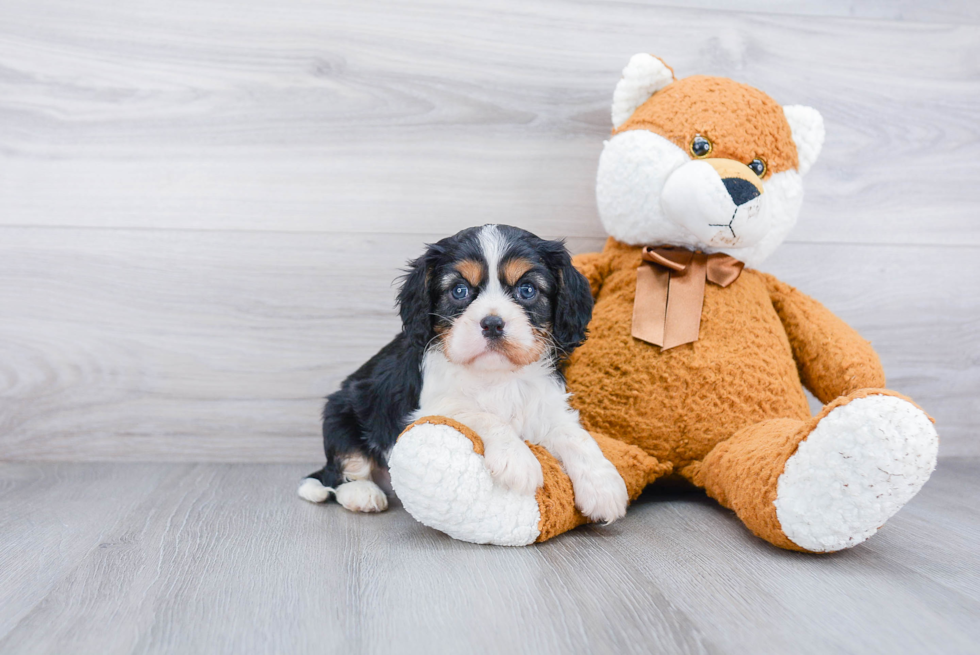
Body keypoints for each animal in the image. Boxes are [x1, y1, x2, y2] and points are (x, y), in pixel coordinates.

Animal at [298, 226, 632, 524]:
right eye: (459, 291)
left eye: (527, 290)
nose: (493, 323)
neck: (498, 375)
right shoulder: (432, 408)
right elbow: (483, 415)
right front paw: (517, 459)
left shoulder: (547, 406)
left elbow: (576, 436)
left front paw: (604, 486)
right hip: (340, 413)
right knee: (341, 472)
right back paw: (363, 494)